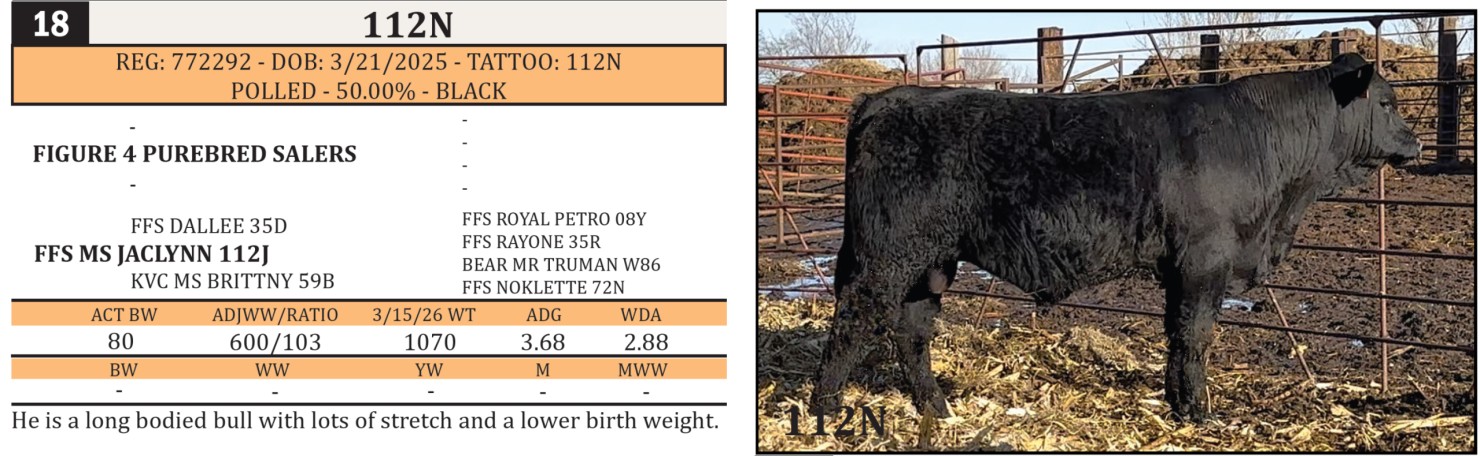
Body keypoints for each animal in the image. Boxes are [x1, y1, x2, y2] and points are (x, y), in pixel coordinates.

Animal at [811, 53, 1421, 422]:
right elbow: (1196, 336)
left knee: (911, 327)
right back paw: (825, 408)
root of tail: (887, 98)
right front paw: (1199, 412)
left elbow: (1176, 335)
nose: (1414, 141)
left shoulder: (1181, 265)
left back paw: (936, 409)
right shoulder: (1205, 258)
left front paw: (1178, 405)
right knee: (855, 315)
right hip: (887, 250)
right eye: (1387, 101)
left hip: (930, 258)